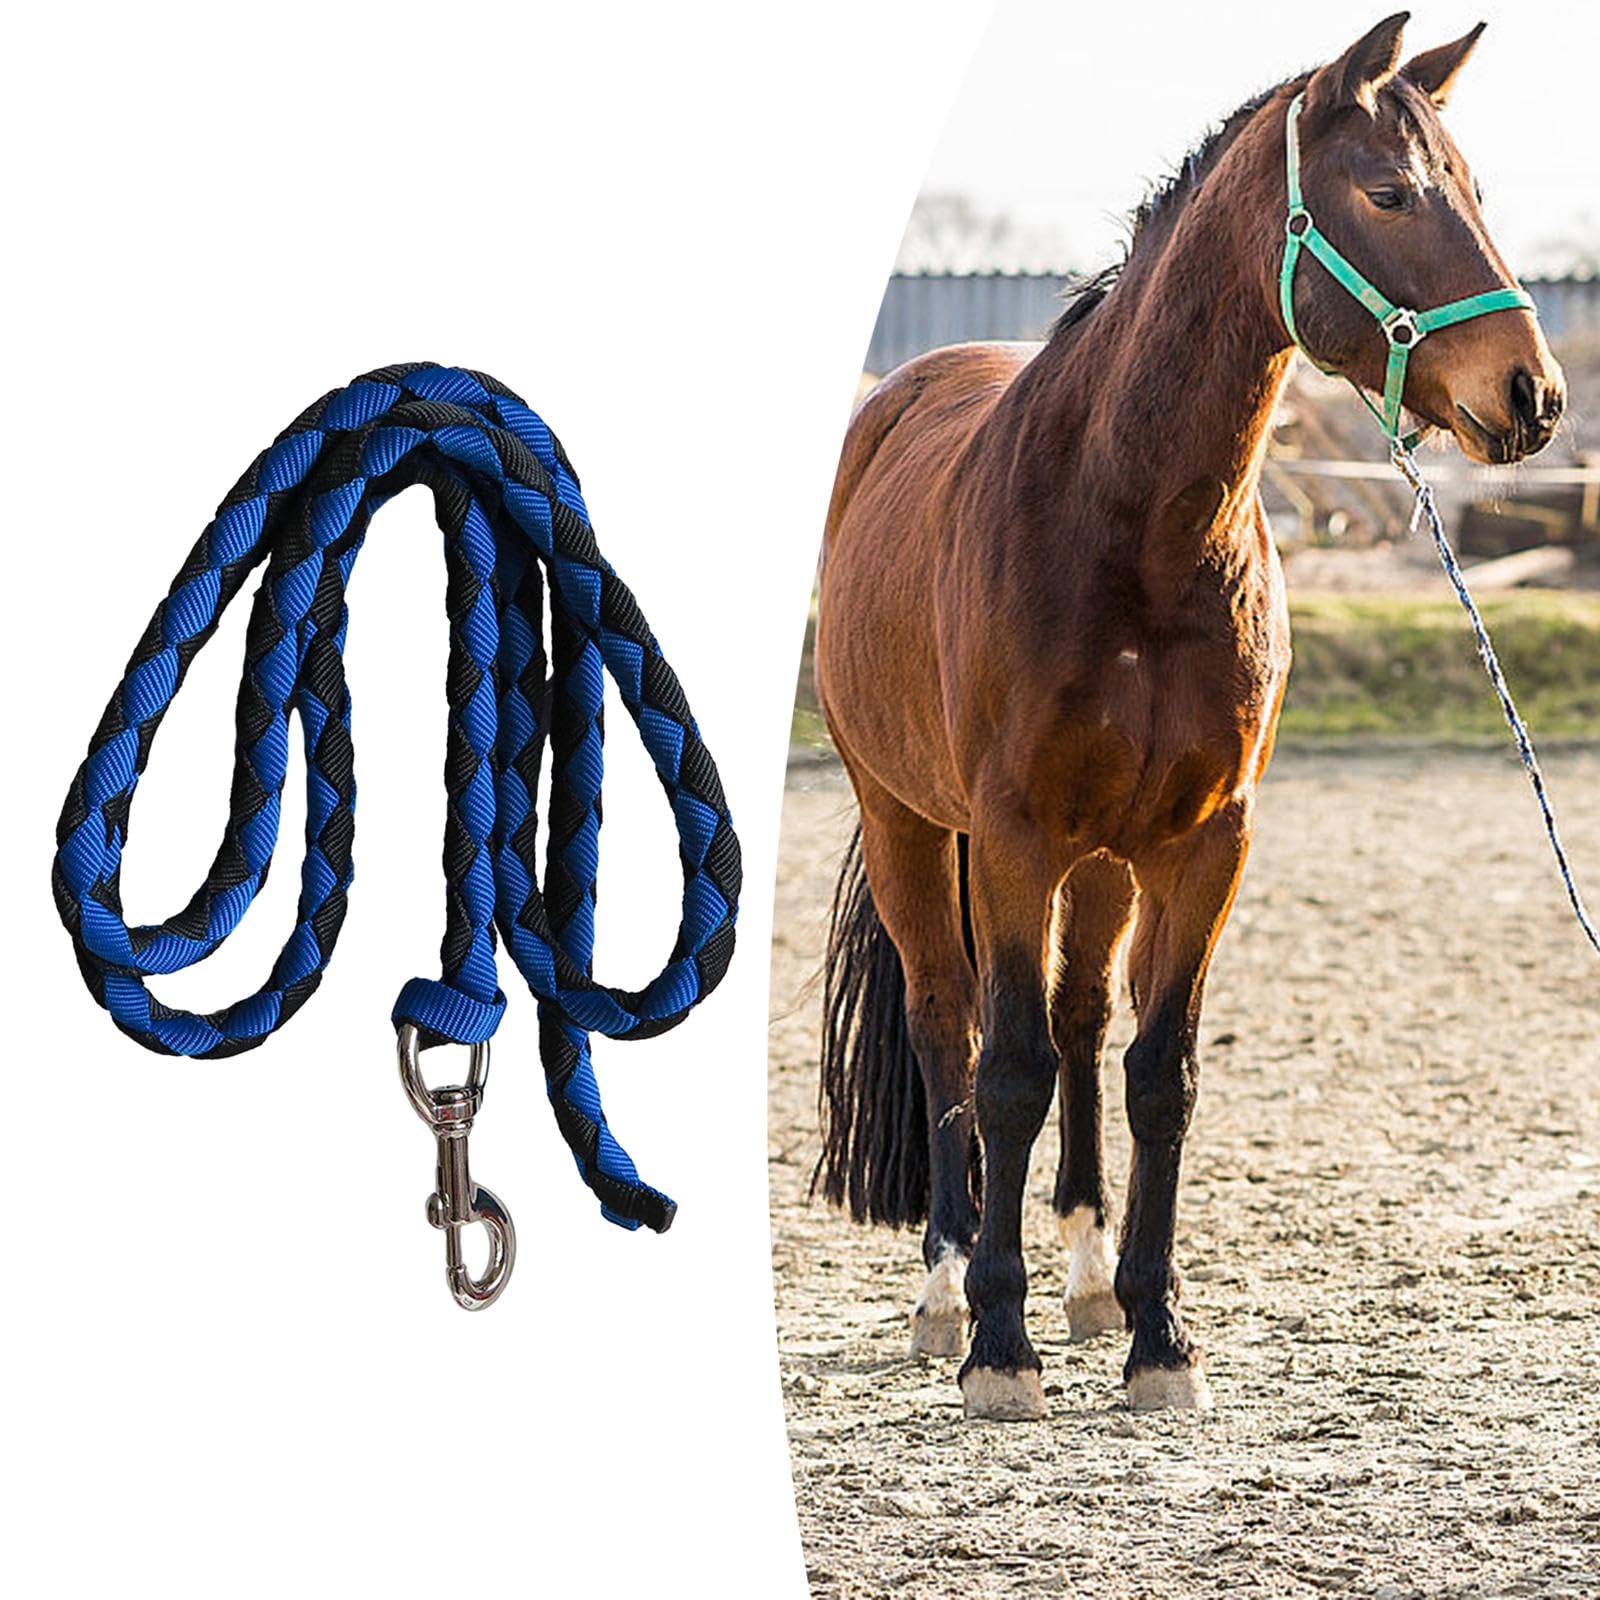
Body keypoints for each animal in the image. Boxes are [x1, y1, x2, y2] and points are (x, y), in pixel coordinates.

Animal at [813, 13, 1565, 1420]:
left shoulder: (1205, 842)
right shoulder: (1011, 838)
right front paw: (1001, 1349)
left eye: (1478, 194)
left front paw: (1158, 1334)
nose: (1532, 394)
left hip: (1105, 862)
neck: (1132, 527)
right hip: (907, 824)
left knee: (1076, 1022)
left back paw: (1088, 1276)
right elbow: (1003, 1073)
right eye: (1389, 194)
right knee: (947, 1024)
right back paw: (946, 1290)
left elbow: (1157, 1074)